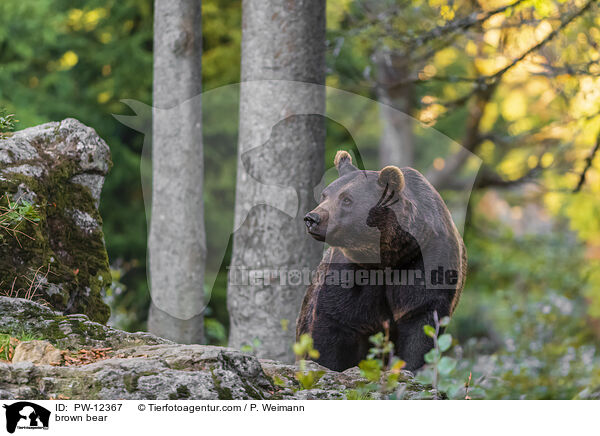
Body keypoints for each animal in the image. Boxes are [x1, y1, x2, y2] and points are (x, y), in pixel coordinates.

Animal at [298, 150, 466, 372]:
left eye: (347, 199)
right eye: (325, 195)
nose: (312, 218)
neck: (387, 256)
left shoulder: (425, 259)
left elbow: (421, 320)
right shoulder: (352, 271)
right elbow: (334, 322)